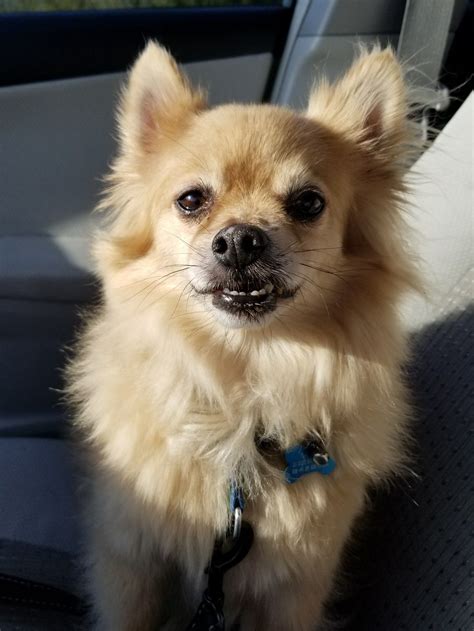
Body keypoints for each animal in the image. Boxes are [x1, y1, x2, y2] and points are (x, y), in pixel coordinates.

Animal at [67, 43, 418, 631]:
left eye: (308, 203)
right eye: (191, 200)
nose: (238, 240)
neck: (244, 377)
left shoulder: (294, 592)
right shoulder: (131, 563)